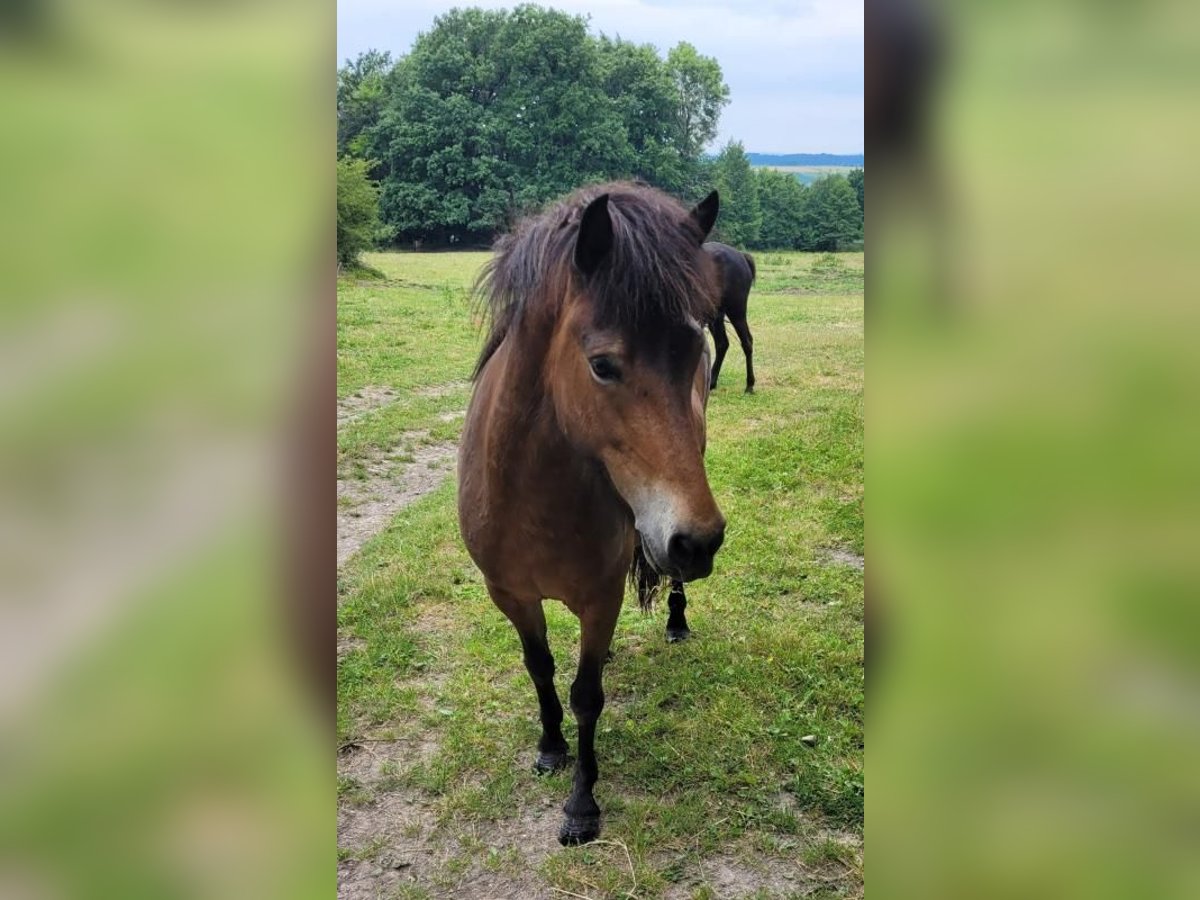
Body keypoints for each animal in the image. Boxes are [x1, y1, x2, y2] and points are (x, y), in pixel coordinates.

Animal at [456, 181, 720, 844]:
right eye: (602, 365)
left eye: (695, 349)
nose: (699, 541)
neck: (532, 498)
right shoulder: (510, 595)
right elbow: (541, 667)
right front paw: (551, 747)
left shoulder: (601, 598)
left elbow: (586, 696)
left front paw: (581, 802)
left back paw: (677, 618)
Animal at [700, 241, 758, 393]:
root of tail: (741, 256)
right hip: (716, 316)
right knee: (722, 344)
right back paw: (712, 382)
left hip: (736, 311)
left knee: (747, 342)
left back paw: (749, 384)